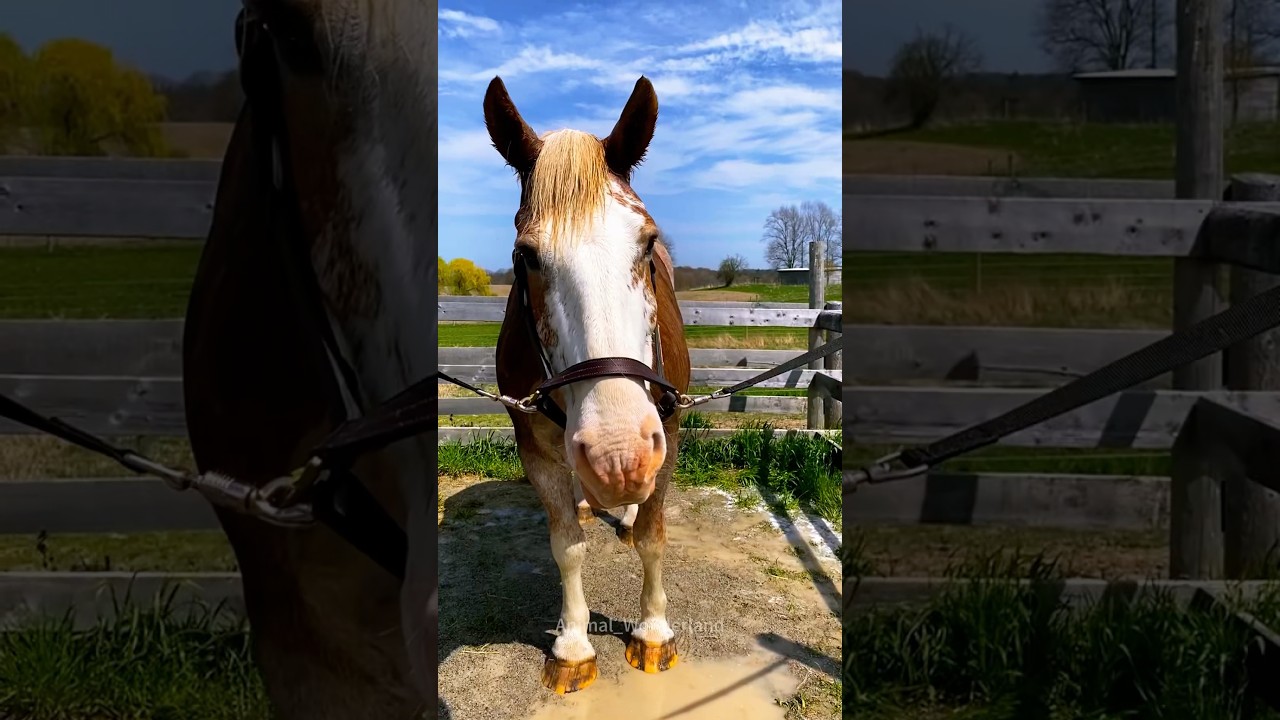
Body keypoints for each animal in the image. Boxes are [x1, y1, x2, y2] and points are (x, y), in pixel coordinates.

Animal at [483, 75, 692, 694]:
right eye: (525, 255)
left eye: (646, 244)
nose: (618, 454)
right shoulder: (535, 450)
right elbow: (566, 548)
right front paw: (573, 644)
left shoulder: (668, 433)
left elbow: (652, 537)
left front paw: (653, 632)